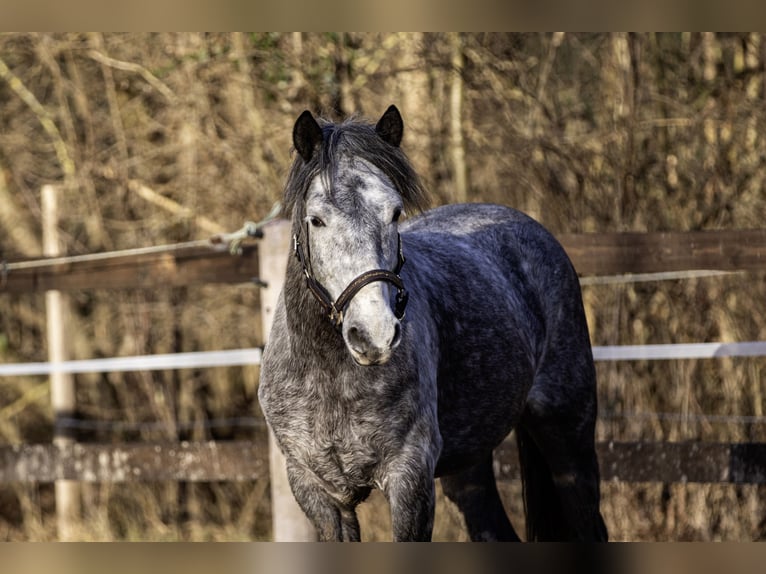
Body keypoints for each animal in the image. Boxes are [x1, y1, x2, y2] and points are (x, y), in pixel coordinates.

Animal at [258, 105, 608, 542]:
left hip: (569, 441)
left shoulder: (410, 479)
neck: (330, 377)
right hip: (470, 466)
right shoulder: (319, 493)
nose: (374, 335)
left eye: (394, 213)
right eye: (317, 220)